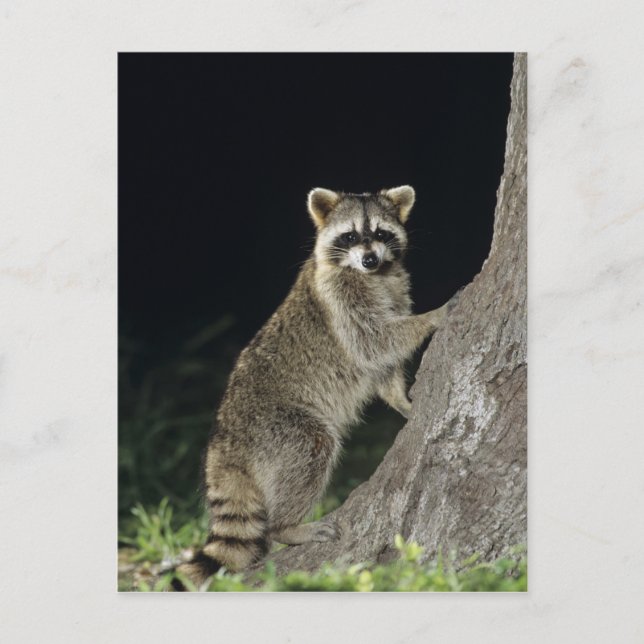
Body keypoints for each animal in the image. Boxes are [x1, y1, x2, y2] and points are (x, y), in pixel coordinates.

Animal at [172, 186, 452, 590]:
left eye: (380, 233)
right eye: (349, 236)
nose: (369, 259)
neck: (373, 275)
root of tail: (223, 444)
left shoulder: (396, 288)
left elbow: (381, 363)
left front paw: (399, 398)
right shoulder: (341, 301)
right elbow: (374, 342)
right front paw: (432, 317)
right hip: (277, 428)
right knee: (313, 446)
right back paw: (287, 526)